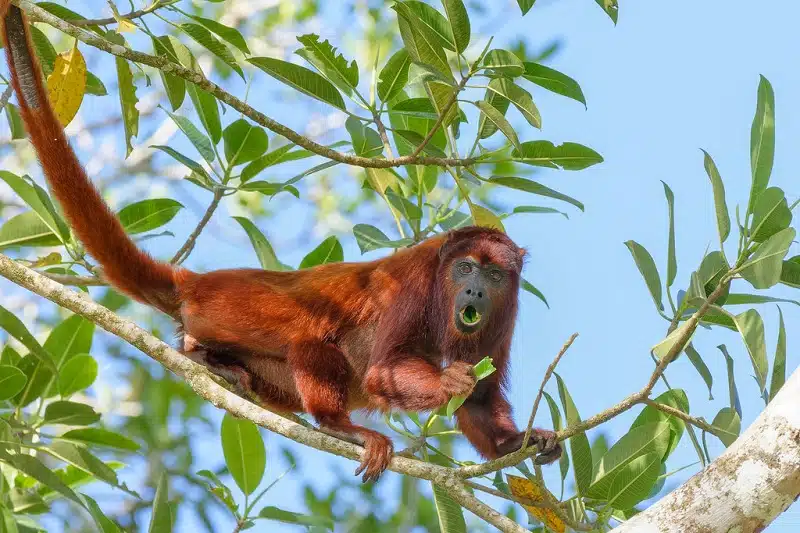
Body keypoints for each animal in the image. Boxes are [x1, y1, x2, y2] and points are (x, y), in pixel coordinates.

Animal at [1, 2, 564, 480]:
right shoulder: (416, 283)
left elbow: (481, 403)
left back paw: (206, 360)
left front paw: (518, 442)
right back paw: (339, 425)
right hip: (236, 304)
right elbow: (383, 372)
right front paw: (446, 383)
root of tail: (195, 282)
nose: (473, 291)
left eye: (493, 274)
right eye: (464, 268)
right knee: (311, 335)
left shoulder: (507, 314)